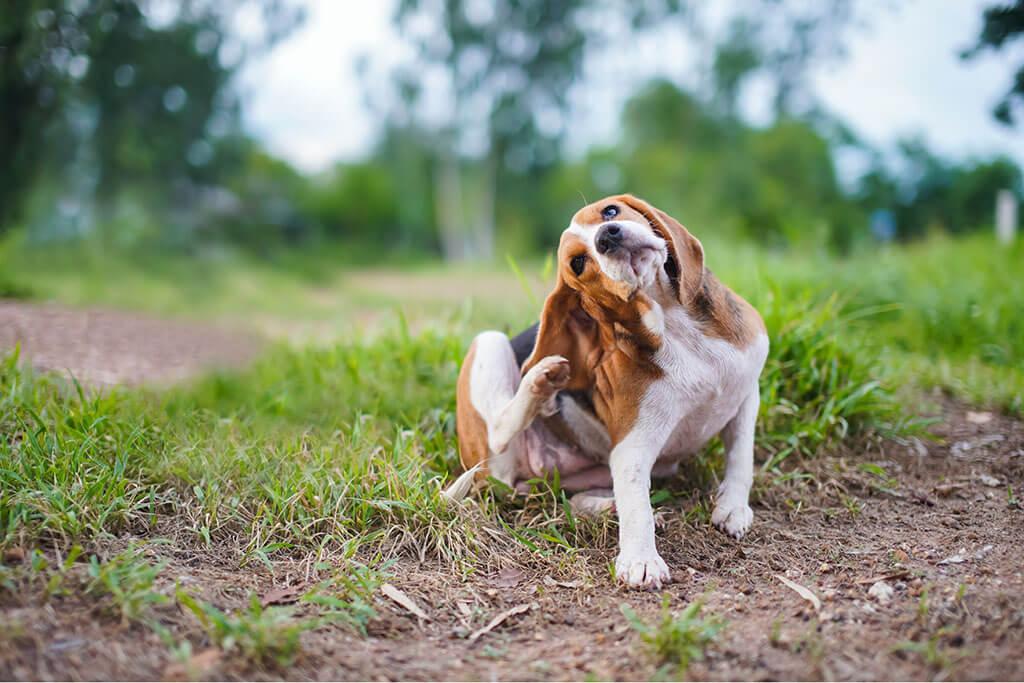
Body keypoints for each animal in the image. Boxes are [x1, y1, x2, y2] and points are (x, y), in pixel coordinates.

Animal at [452, 194, 765, 589]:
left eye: (610, 211)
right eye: (578, 263)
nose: (608, 236)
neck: (675, 326)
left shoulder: (746, 392)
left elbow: (741, 456)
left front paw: (733, 507)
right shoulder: (631, 447)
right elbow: (636, 506)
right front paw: (641, 560)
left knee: (572, 499)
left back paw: (601, 503)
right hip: (490, 348)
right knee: (498, 431)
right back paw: (540, 383)